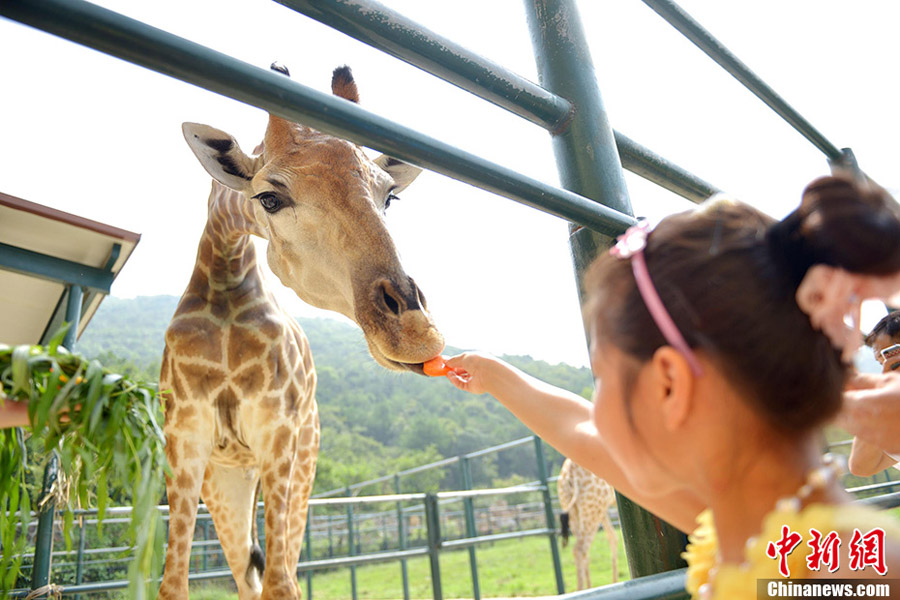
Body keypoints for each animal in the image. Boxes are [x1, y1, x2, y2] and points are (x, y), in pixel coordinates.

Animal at [159, 65, 446, 600]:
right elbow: (173, 585)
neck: (226, 290)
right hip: (225, 481)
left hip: (302, 461)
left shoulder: (279, 430)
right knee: (246, 575)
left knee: (279, 571)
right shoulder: (185, 436)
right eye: (269, 198)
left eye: (390, 195)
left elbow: (283, 583)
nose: (417, 332)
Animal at [556, 458, 620, 588]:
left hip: (575, 510)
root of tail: (570, 474)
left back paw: (588, 587)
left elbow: (612, 537)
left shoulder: (604, 508)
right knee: (580, 549)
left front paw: (615, 580)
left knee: (582, 548)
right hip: (592, 508)